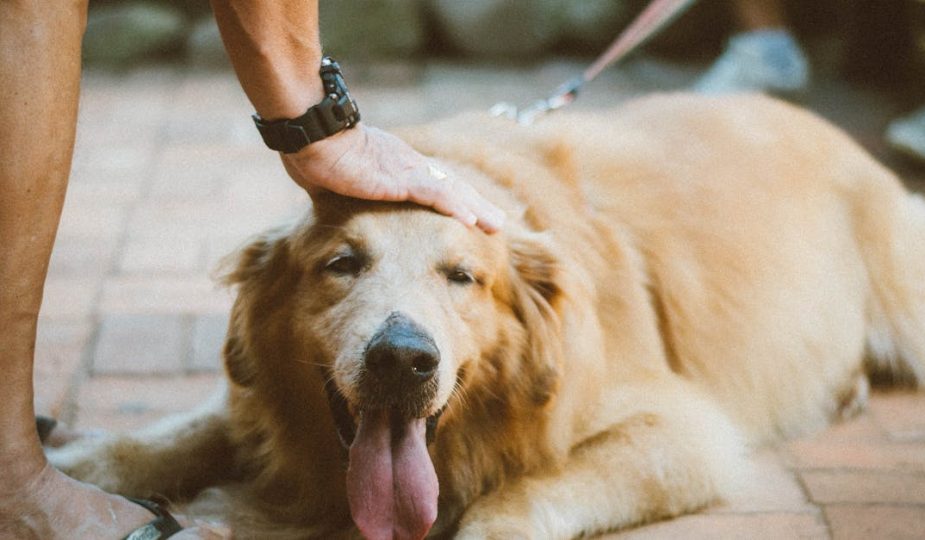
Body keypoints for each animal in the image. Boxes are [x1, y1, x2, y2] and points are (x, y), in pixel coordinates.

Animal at [48, 95, 924, 536]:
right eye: (342, 264)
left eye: (463, 277)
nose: (402, 359)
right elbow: (177, 433)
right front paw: (75, 464)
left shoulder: (681, 431)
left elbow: (517, 499)